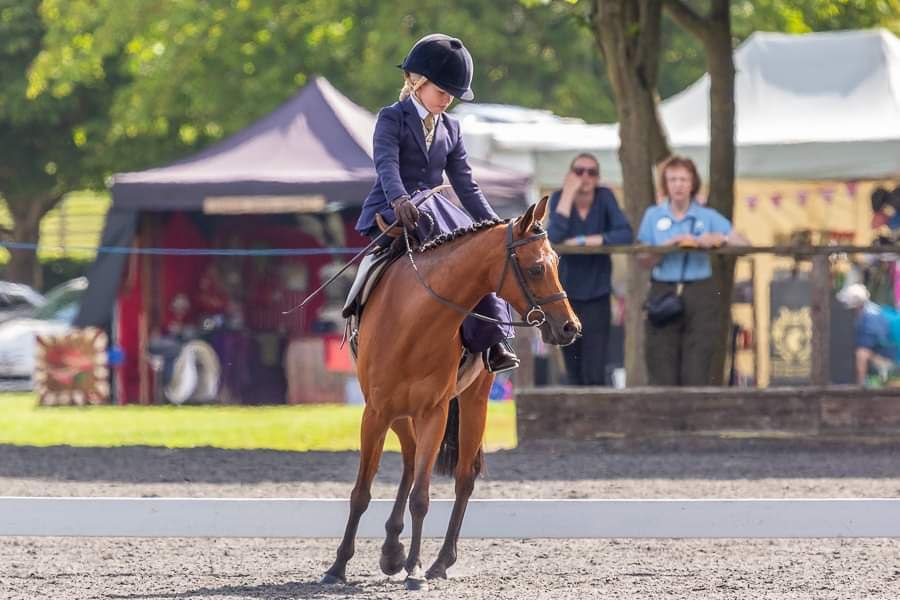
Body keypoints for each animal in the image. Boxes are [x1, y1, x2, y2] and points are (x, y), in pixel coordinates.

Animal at [320, 198, 580, 592]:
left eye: (557, 264)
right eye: (536, 268)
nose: (570, 328)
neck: (413, 319)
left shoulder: (434, 412)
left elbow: (422, 497)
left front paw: (415, 570)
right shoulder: (376, 412)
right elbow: (361, 492)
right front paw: (337, 567)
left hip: (473, 401)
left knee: (463, 477)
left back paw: (439, 562)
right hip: (398, 413)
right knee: (410, 460)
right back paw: (391, 550)